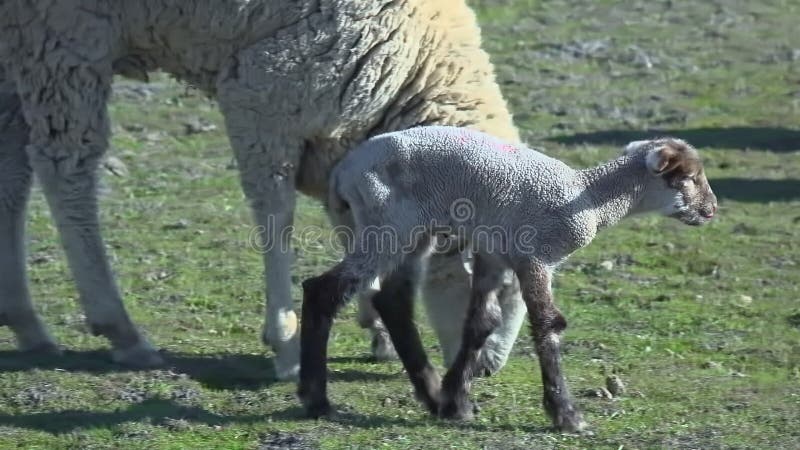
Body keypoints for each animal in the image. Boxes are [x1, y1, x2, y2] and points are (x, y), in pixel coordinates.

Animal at [0, 0, 528, 380]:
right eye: (501, 292)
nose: (486, 371)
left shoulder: (346, 144)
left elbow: (356, 226)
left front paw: (374, 321)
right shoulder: (264, 92)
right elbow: (276, 218)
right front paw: (286, 341)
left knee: (13, 166)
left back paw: (25, 320)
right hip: (63, 36)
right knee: (64, 165)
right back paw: (121, 329)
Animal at [300, 125, 720, 430]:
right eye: (688, 177)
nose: (712, 210)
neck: (589, 198)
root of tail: (343, 172)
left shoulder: (495, 253)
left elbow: (480, 324)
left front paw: (456, 402)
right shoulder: (536, 256)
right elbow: (548, 326)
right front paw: (566, 415)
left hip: (413, 232)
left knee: (393, 300)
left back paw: (431, 394)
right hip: (389, 225)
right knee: (323, 290)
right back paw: (316, 400)